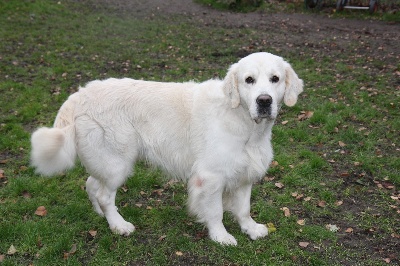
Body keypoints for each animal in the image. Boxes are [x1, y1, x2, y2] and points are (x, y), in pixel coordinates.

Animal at [30, 52, 304, 245]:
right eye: (249, 80)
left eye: (275, 79)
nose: (264, 101)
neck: (244, 122)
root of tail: (79, 94)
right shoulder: (210, 177)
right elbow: (215, 211)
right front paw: (221, 237)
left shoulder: (245, 173)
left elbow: (244, 209)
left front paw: (251, 229)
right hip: (118, 162)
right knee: (105, 195)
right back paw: (119, 225)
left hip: (106, 160)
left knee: (91, 185)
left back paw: (102, 216)